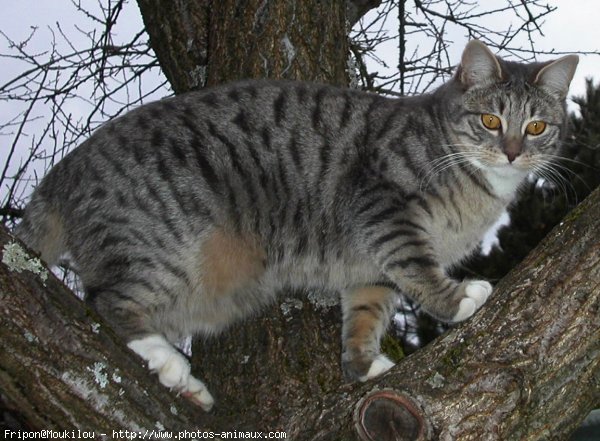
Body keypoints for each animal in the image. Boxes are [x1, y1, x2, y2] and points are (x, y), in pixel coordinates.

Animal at [15, 40, 576, 410]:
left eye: (536, 127)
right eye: (490, 121)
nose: (512, 151)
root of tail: (65, 170)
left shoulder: (371, 266)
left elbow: (367, 311)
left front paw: (362, 363)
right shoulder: (382, 208)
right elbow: (418, 267)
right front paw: (458, 299)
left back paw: (186, 388)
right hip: (163, 248)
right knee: (105, 303)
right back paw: (168, 361)